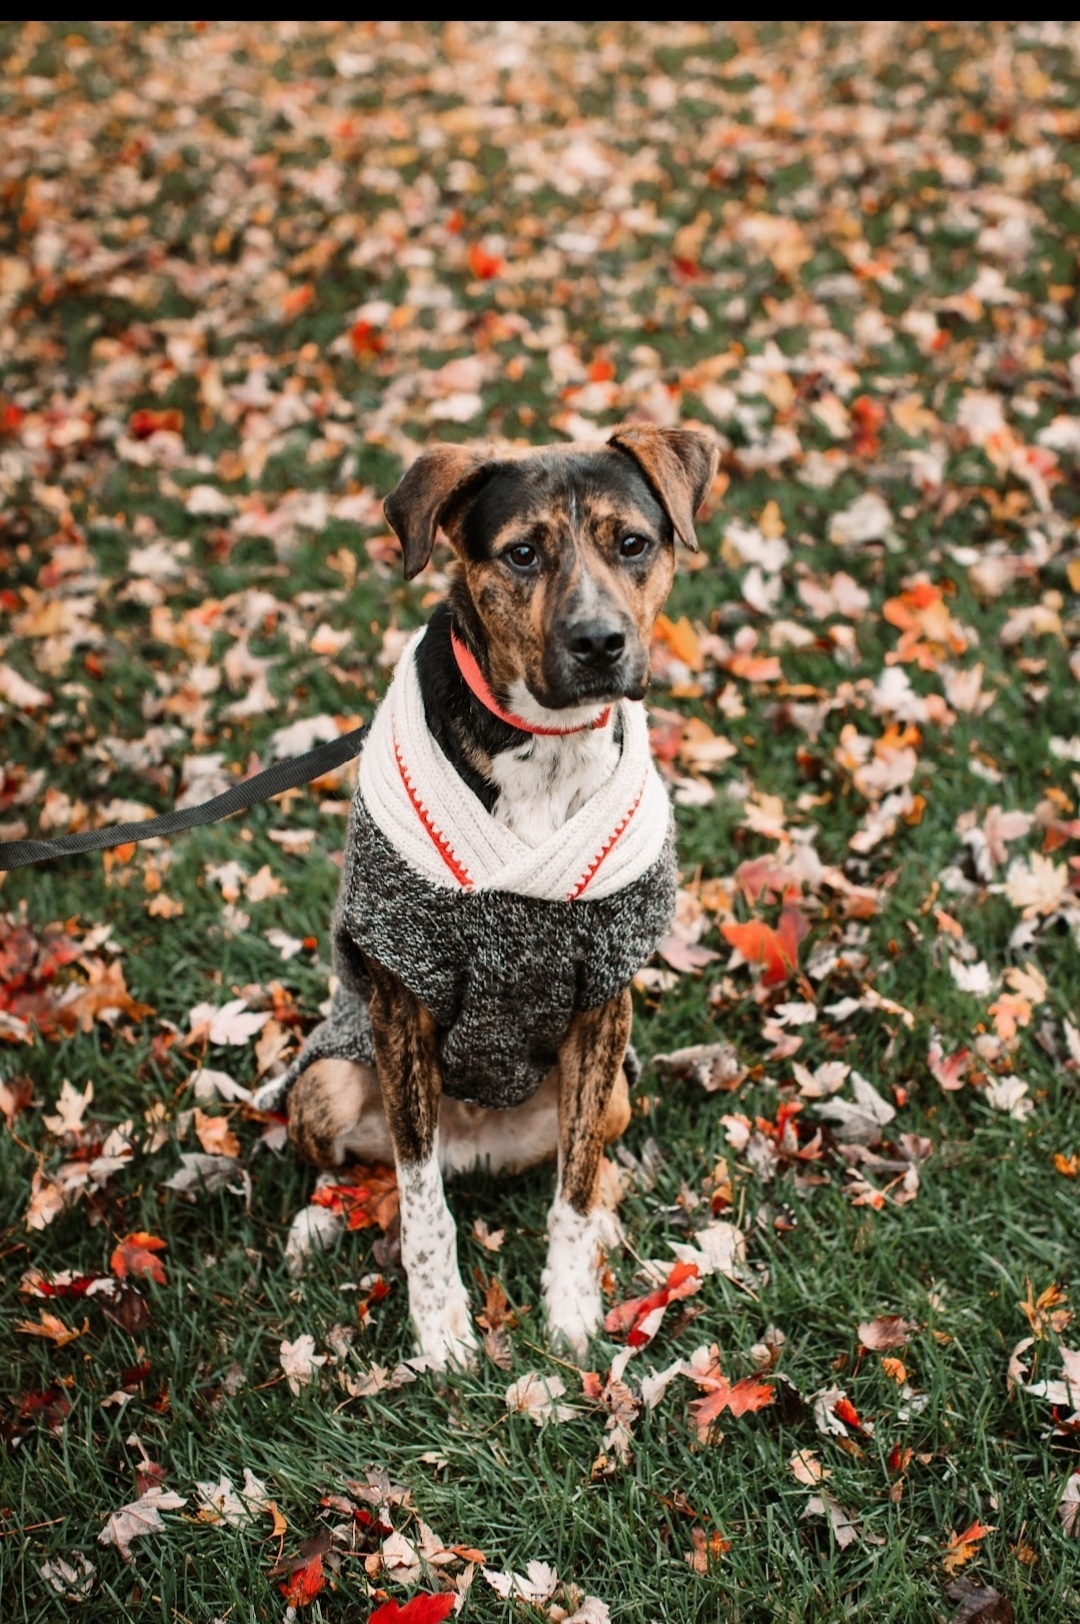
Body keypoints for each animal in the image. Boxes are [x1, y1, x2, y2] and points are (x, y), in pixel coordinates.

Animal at [254, 425, 714, 1364]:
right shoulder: (403, 994)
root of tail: (478, 1145)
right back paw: (319, 1224)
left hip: (612, 1092)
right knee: (364, 1168)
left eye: (633, 543)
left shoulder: (605, 997)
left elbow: (573, 1189)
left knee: (587, 1161)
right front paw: (441, 1334)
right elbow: (422, 1201)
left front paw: (571, 1305)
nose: (600, 642)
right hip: (328, 1084)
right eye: (523, 553)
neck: (544, 745)